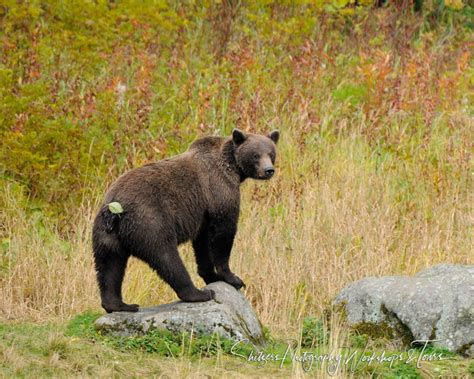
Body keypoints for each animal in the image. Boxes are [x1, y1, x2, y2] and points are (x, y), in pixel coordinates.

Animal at [90, 129, 280, 314]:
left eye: (271, 153)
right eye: (255, 155)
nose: (269, 170)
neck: (234, 170)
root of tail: (116, 207)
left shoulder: (203, 215)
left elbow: (203, 244)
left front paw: (211, 275)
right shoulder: (219, 190)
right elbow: (223, 233)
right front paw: (233, 278)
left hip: (106, 233)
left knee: (108, 266)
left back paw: (120, 305)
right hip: (149, 221)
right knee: (166, 257)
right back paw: (199, 293)